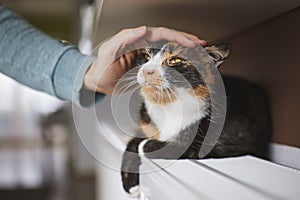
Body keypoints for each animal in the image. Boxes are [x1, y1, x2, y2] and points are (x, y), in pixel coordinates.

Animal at [120, 41, 272, 197]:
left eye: (174, 60)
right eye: (146, 56)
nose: (147, 71)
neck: (168, 105)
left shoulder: (237, 141)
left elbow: (190, 147)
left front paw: (146, 145)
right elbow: (132, 143)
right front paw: (131, 185)